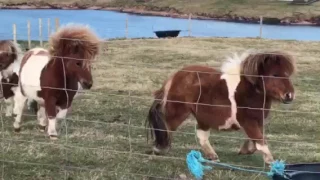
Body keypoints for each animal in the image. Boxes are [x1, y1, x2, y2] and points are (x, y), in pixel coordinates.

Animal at [146, 49, 296, 165]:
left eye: (287, 74)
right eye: (275, 74)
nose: (289, 95)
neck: (250, 91)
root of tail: (175, 76)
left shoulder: (257, 121)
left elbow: (256, 140)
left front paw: (244, 150)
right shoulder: (249, 122)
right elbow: (260, 140)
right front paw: (271, 161)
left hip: (202, 117)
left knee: (201, 135)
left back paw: (212, 156)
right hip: (179, 112)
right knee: (167, 127)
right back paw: (160, 149)